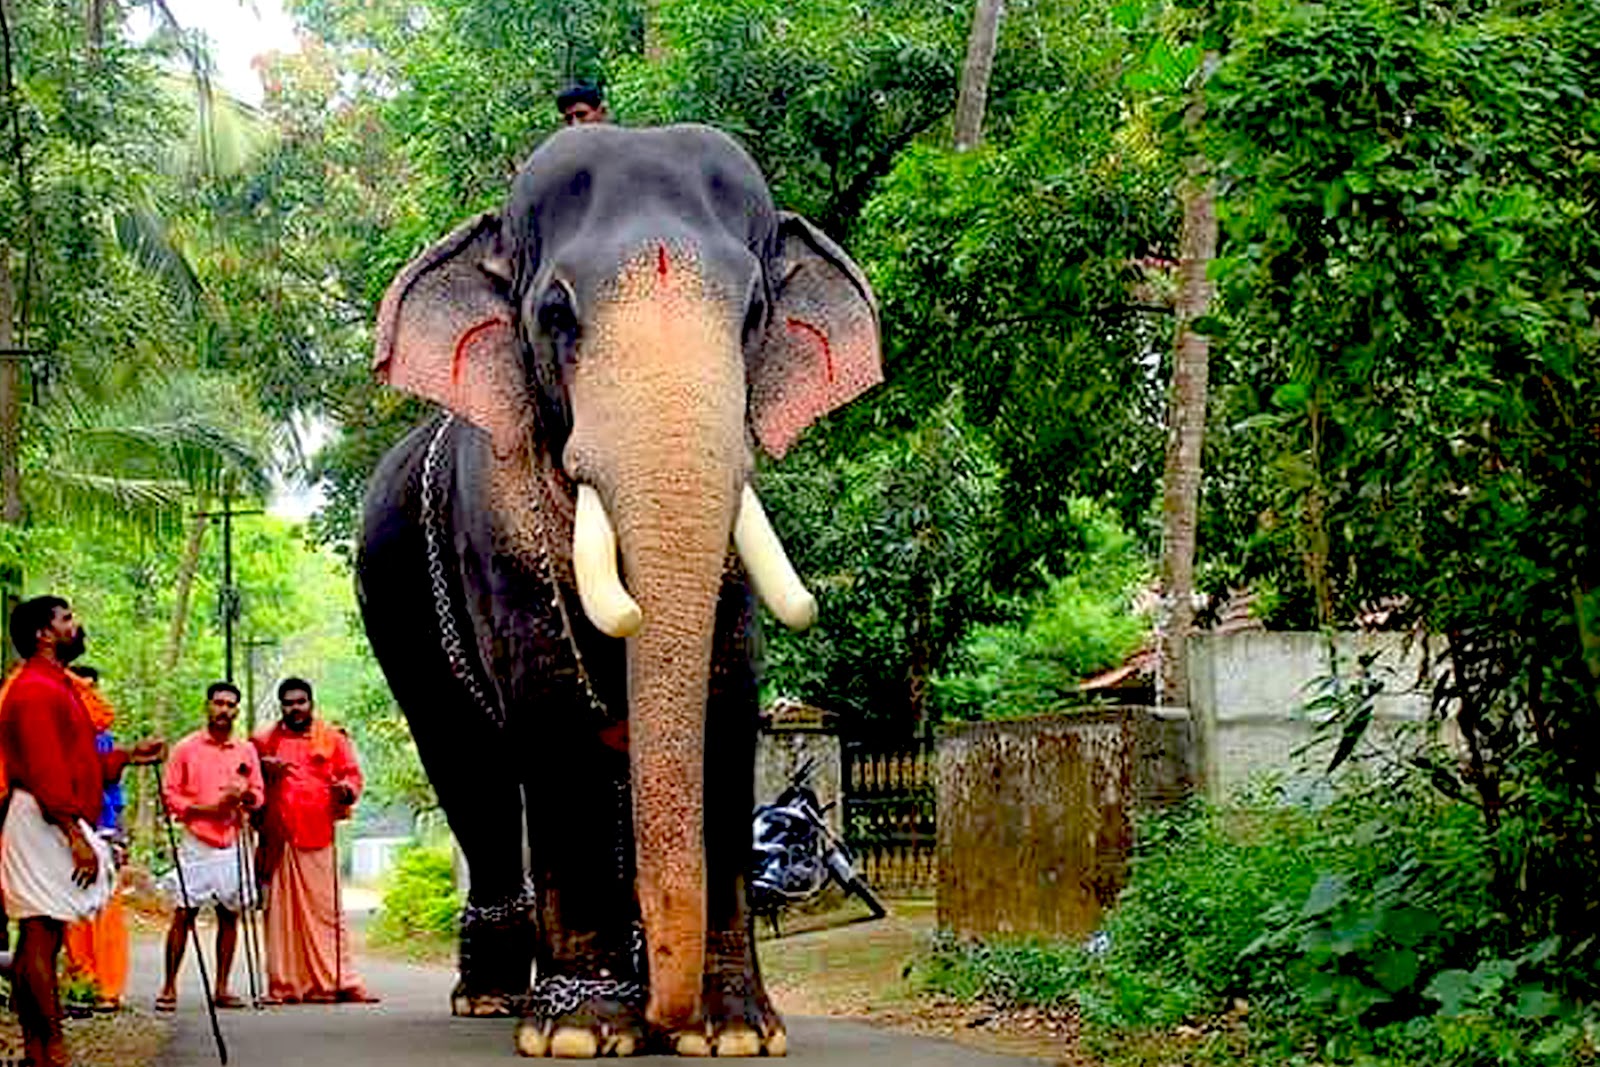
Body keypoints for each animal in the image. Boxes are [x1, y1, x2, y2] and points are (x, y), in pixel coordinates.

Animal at [355, 123, 883, 1062]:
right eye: (556, 315)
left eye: (754, 314)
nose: (667, 1016)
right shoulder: (497, 531)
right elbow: (554, 709)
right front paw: (581, 1031)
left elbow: (726, 700)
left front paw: (733, 1032)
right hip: (394, 609)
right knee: (468, 767)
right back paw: (491, 999)